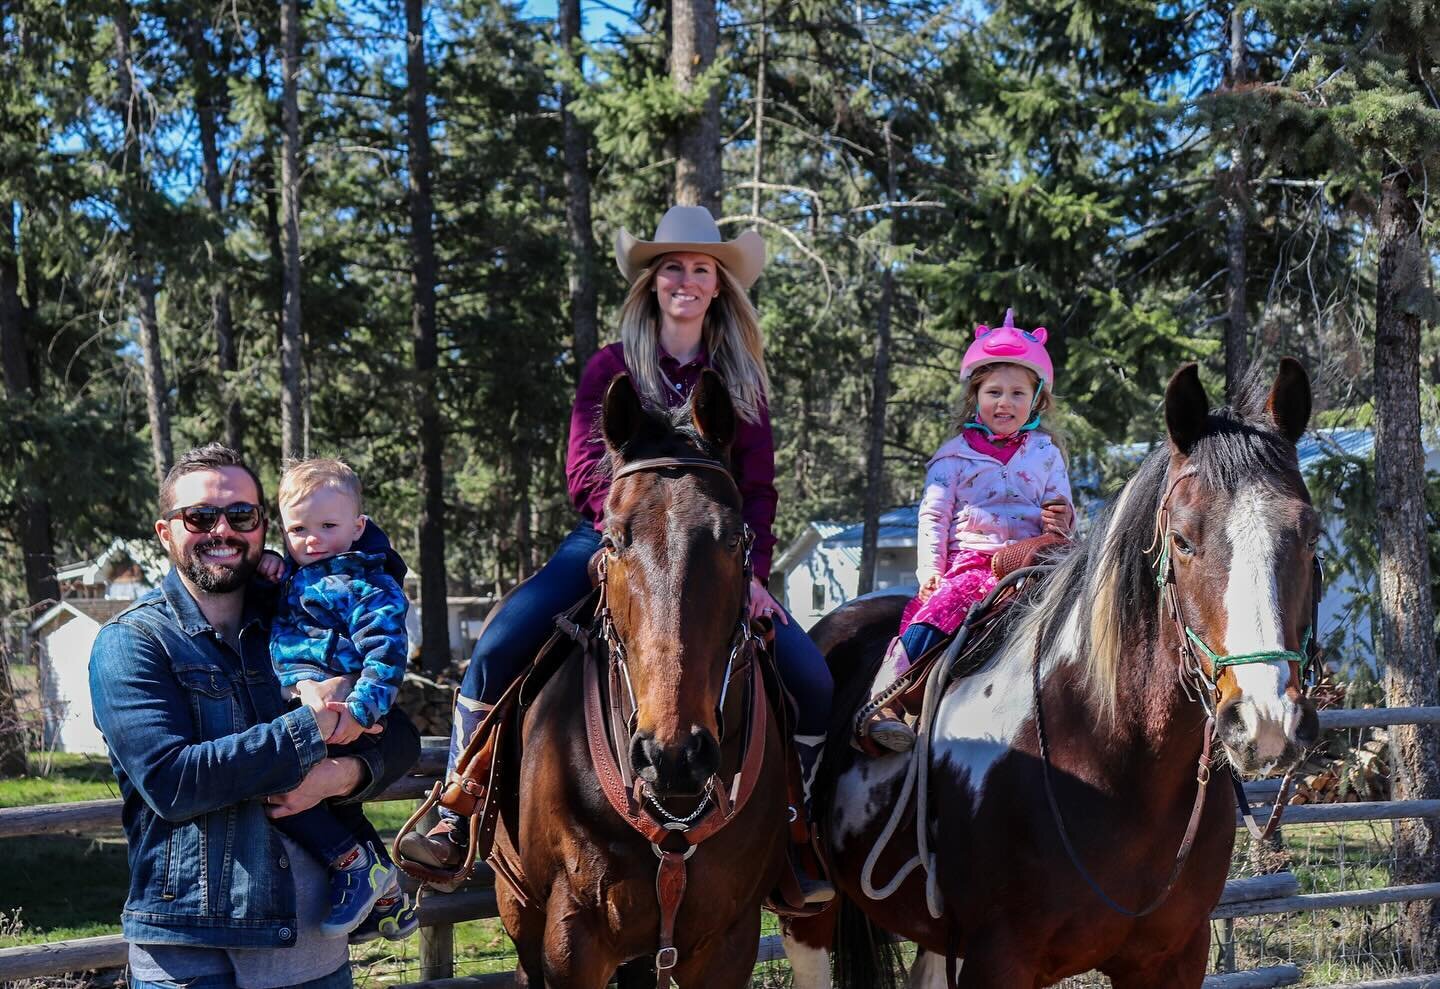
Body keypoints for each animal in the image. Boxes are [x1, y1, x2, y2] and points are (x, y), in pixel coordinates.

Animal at [492, 371, 789, 989]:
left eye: (734, 539)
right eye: (613, 540)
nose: (673, 754)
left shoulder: (729, 943)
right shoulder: (571, 941)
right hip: (518, 907)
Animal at [794, 359, 1319, 984]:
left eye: (1310, 535)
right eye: (1182, 541)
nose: (1266, 720)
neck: (1111, 756)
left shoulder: (1173, 958)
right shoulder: (999, 960)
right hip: (809, 910)